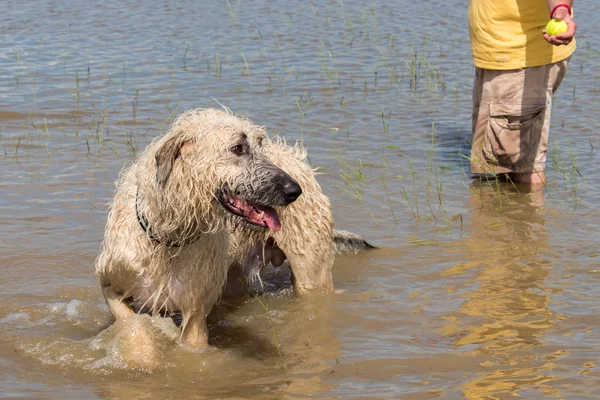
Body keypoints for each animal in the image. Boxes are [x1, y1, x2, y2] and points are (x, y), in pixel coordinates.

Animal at [96, 108, 302, 346]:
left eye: (260, 144)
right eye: (238, 148)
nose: (294, 190)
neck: (168, 238)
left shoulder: (195, 312)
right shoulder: (112, 281)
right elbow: (130, 320)